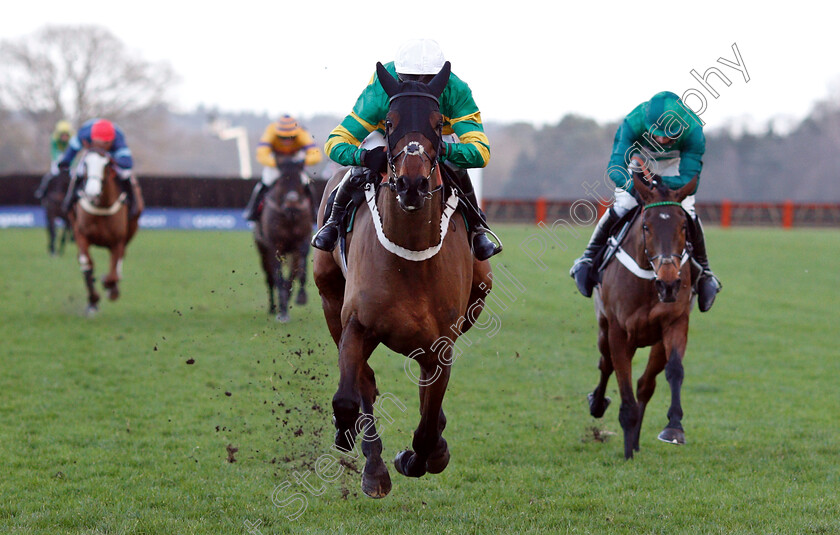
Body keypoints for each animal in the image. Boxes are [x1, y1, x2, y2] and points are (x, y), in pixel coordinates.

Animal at [68, 151, 142, 316]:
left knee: (118, 262)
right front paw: (93, 301)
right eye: (85, 164)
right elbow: (86, 264)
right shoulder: (81, 234)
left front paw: (109, 287)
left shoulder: (118, 241)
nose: (91, 193)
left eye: (106, 165)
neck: (101, 206)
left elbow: (113, 273)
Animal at [254, 156, 314, 322]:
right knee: (269, 278)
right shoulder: (273, 246)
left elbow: (298, 270)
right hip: (262, 250)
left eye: (300, 182)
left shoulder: (301, 242)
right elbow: (277, 277)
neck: (290, 217)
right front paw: (282, 310)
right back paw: (273, 308)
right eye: (281, 181)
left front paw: (300, 297)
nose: (291, 204)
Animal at [314, 61, 496, 498]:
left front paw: (422, 456)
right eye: (389, 122)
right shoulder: (355, 323)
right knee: (364, 382)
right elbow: (349, 397)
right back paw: (373, 466)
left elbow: (428, 426)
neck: (410, 260)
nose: (412, 183)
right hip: (329, 298)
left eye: (436, 122)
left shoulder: (440, 344)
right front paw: (361, 450)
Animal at [588, 174, 700, 458]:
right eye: (647, 227)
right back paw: (597, 404)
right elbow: (621, 380)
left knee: (645, 384)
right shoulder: (618, 331)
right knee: (606, 364)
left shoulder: (675, 322)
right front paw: (627, 452)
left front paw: (674, 428)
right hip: (603, 328)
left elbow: (675, 370)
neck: (650, 282)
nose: (669, 284)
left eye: (684, 226)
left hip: (656, 342)